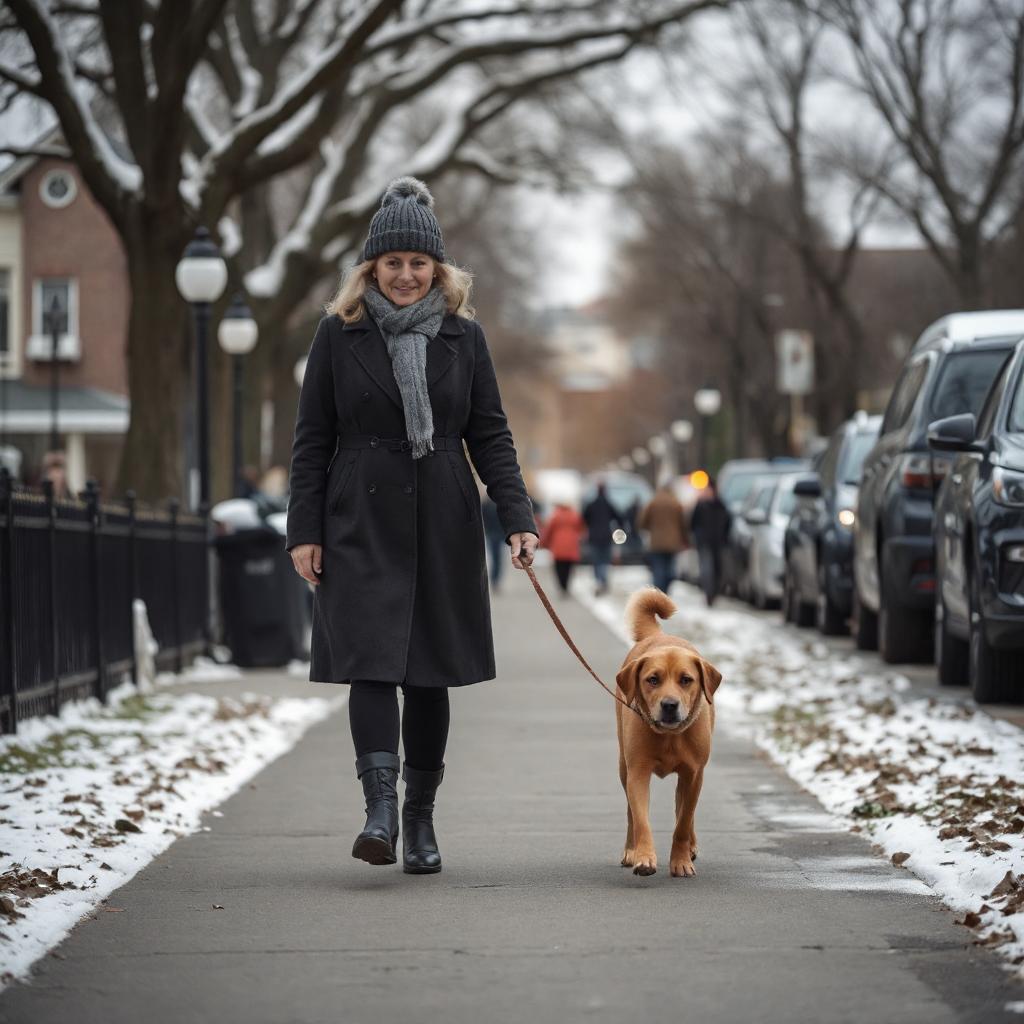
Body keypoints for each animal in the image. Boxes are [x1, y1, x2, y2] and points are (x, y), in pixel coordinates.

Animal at [614, 589, 720, 876]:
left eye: (686, 680)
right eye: (653, 679)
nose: (669, 705)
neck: (670, 737)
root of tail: (658, 636)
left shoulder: (694, 774)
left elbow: (683, 821)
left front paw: (681, 860)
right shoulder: (638, 772)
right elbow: (640, 818)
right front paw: (643, 857)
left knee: (683, 811)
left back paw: (690, 847)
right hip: (623, 765)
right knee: (629, 811)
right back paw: (630, 849)